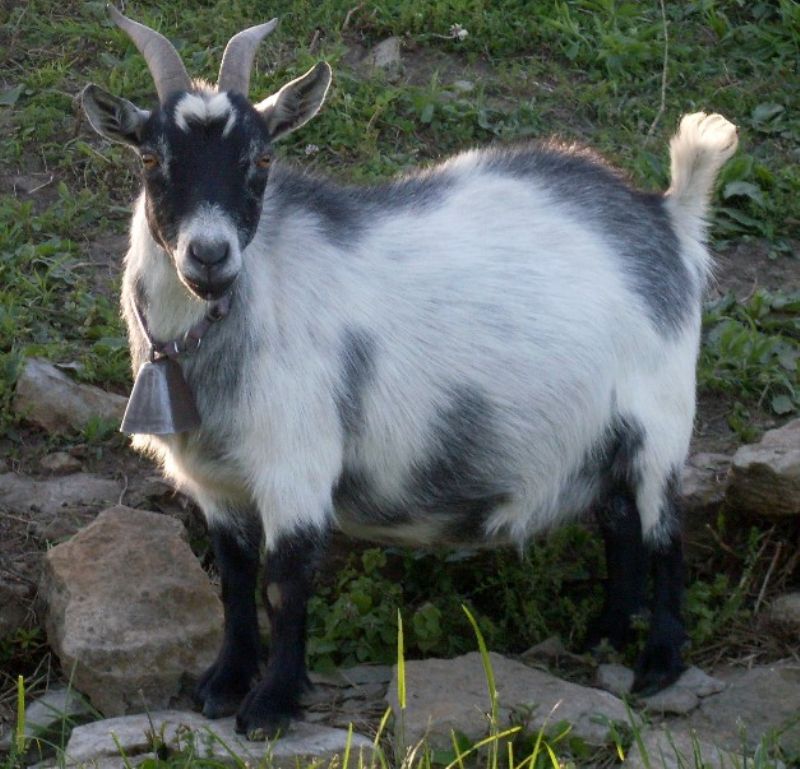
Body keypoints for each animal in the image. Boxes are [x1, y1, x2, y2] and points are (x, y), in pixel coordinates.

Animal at [82, 7, 738, 738]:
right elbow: (234, 577)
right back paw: (605, 634)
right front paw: (224, 682)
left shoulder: (296, 462)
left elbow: (285, 582)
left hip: (660, 419)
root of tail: (665, 216)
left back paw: (659, 662)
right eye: (150, 157)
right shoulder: (216, 482)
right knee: (620, 522)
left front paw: (273, 703)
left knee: (662, 531)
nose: (210, 255)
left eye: (262, 158)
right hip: (606, 435)